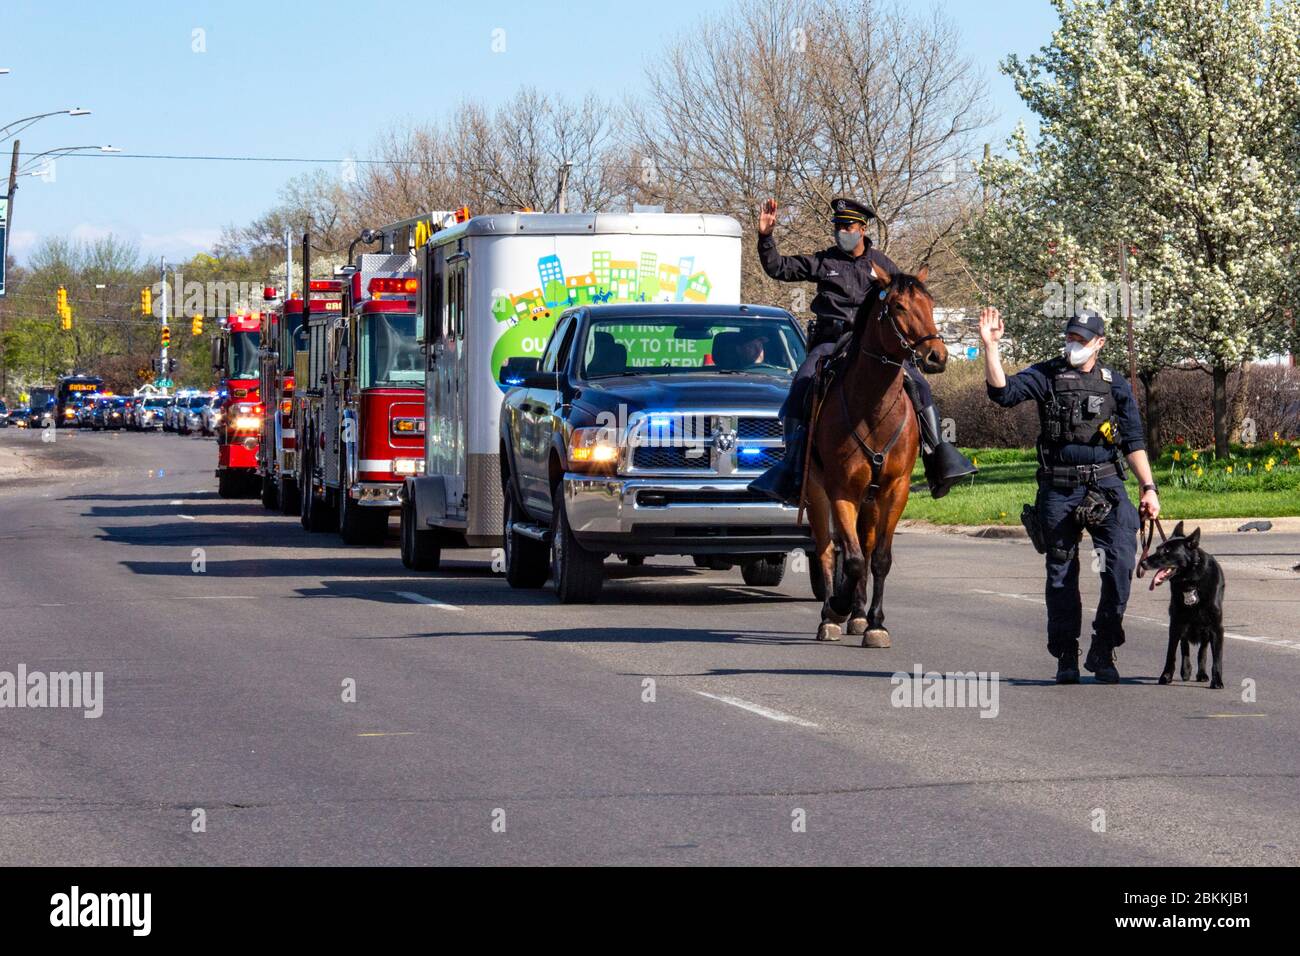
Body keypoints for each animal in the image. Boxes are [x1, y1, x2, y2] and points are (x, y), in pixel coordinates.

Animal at [800, 265, 946, 647]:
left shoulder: (896, 489)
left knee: (863, 549)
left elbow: (878, 558)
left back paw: (859, 615)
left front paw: (876, 623)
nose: (937, 356)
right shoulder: (841, 490)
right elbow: (848, 558)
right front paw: (836, 607)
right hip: (818, 494)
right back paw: (831, 615)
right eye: (898, 306)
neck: (873, 409)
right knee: (827, 549)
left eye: (930, 304)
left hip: (871, 500)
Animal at [1144, 522, 1222, 686]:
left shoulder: (1216, 628)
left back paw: (1201, 673)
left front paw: (1217, 680)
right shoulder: (1175, 623)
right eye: (1157, 549)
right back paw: (1186, 670)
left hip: (1204, 628)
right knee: (1184, 645)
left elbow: (1216, 658)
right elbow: (1171, 653)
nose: (1142, 563)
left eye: (1167, 551)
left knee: (1202, 650)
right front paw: (1166, 676)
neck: (1191, 581)